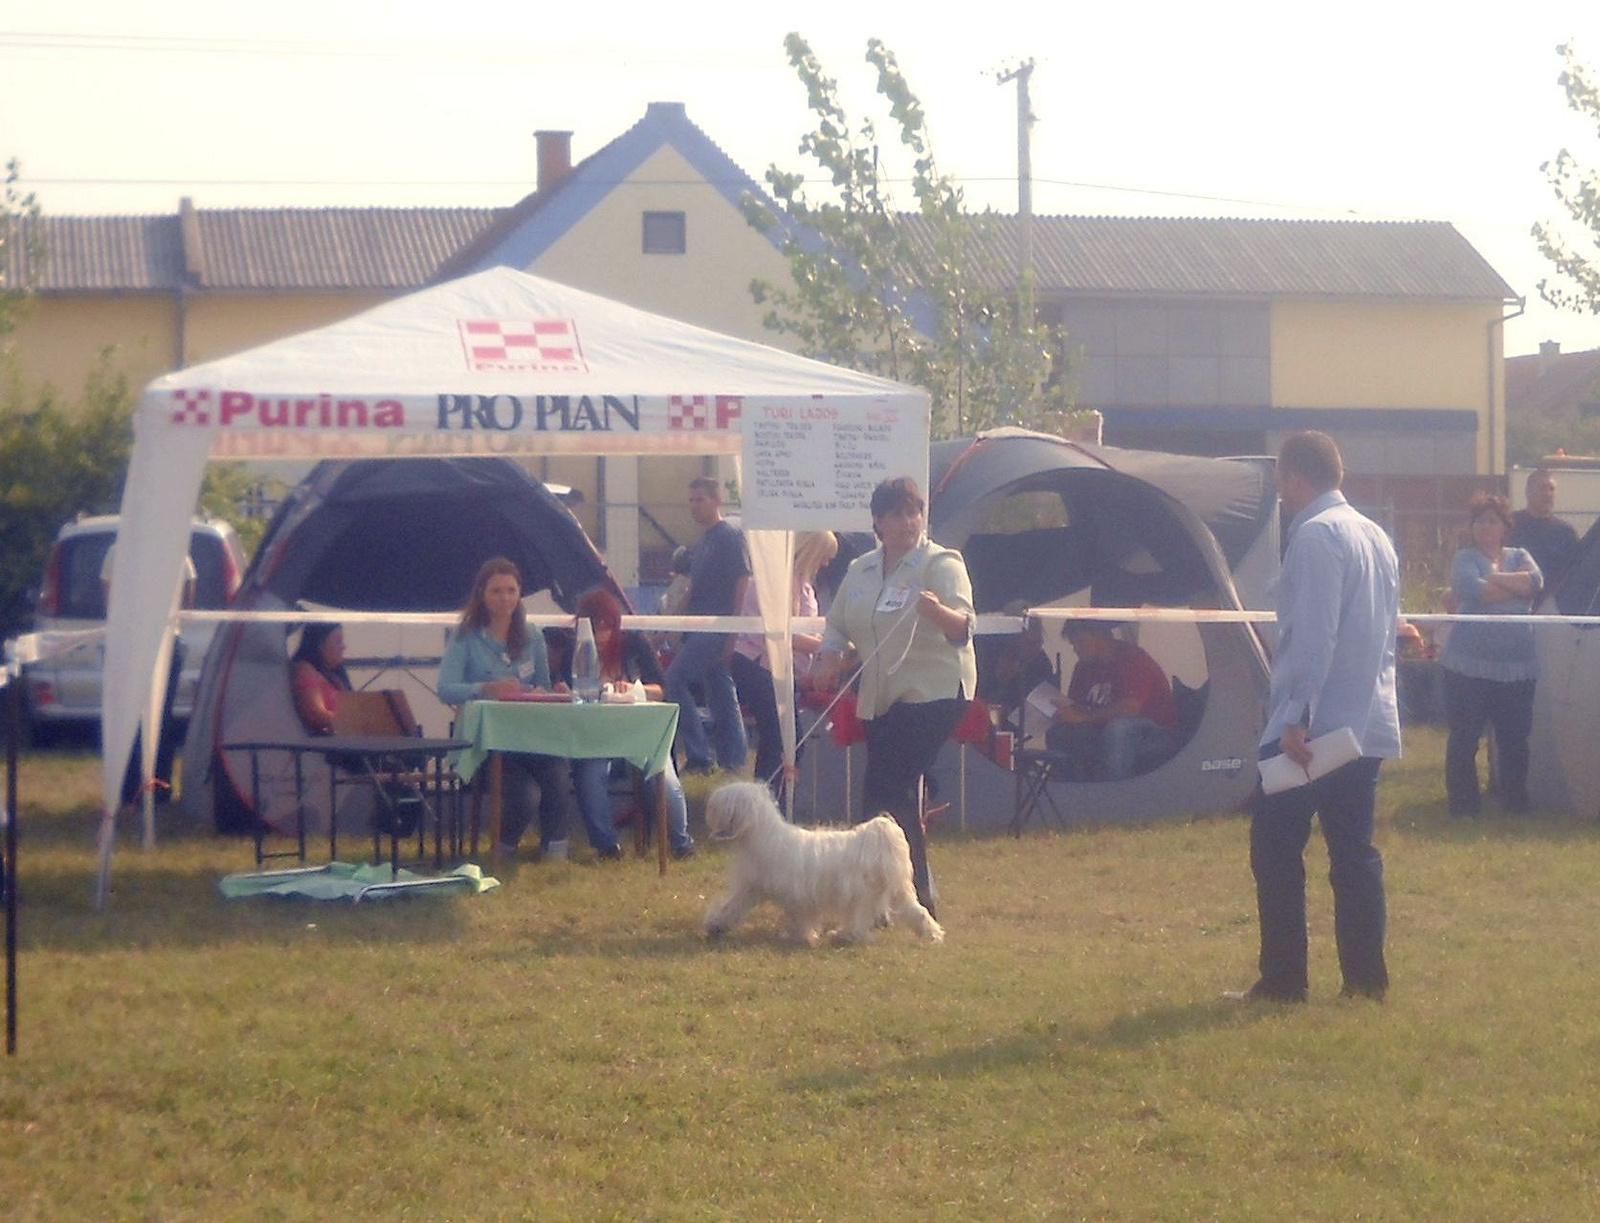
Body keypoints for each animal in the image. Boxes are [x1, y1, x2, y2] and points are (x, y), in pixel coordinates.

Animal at [707, 784, 940, 947]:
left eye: (726, 799)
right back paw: (933, 934)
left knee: (859, 921)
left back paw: (846, 935)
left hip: (861, 895)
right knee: (918, 911)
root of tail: (879, 838)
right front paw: (716, 924)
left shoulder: (798, 897)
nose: (710, 803)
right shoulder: (751, 888)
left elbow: (801, 918)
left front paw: (801, 937)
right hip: (894, 891)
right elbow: (732, 907)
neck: (765, 837)